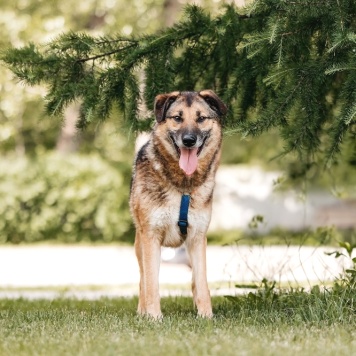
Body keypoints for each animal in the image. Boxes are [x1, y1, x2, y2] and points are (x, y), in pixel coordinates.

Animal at [129, 90, 227, 318]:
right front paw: (153, 317)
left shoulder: (198, 238)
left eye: (201, 118)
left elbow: (202, 283)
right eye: (177, 118)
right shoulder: (151, 237)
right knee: (143, 280)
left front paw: (206, 316)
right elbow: (151, 284)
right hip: (140, 245)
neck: (183, 185)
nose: (189, 140)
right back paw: (142, 312)